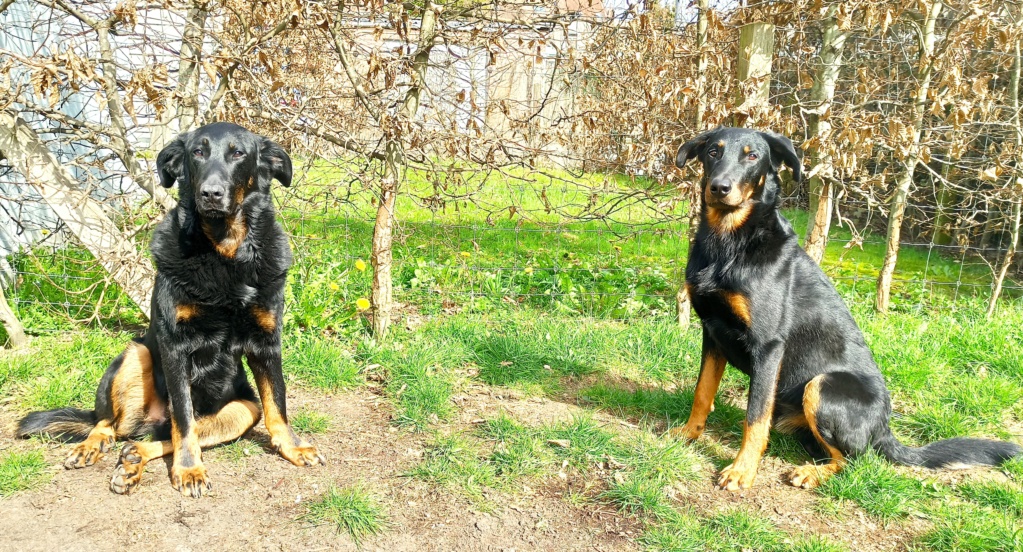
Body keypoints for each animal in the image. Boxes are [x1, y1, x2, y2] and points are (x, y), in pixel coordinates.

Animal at [18, 121, 323, 496]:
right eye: (197, 153)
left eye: (238, 153)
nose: (210, 193)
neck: (224, 252)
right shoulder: (175, 346)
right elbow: (185, 420)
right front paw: (190, 470)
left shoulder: (266, 343)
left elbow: (277, 403)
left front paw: (292, 446)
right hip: (135, 354)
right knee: (113, 423)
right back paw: (93, 445)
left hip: (242, 410)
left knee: (155, 436)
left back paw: (132, 459)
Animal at [666, 128, 1018, 490]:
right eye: (712, 152)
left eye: (752, 156)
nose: (719, 187)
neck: (729, 242)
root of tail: (884, 430)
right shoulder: (712, 331)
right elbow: (702, 392)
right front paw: (690, 433)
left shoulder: (768, 347)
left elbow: (756, 416)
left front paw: (742, 471)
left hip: (821, 386)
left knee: (856, 462)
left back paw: (810, 472)